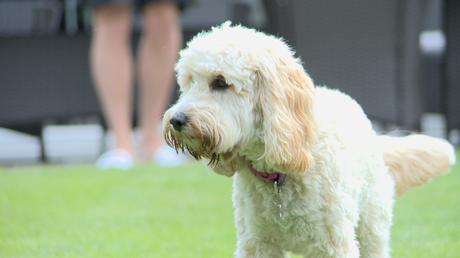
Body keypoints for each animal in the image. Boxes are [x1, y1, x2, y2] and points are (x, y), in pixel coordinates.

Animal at [163, 22, 456, 258]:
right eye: (188, 82)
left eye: (221, 82)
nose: (176, 120)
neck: (280, 175)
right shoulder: (257, 243)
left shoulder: (336, 243)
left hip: (372, 226)